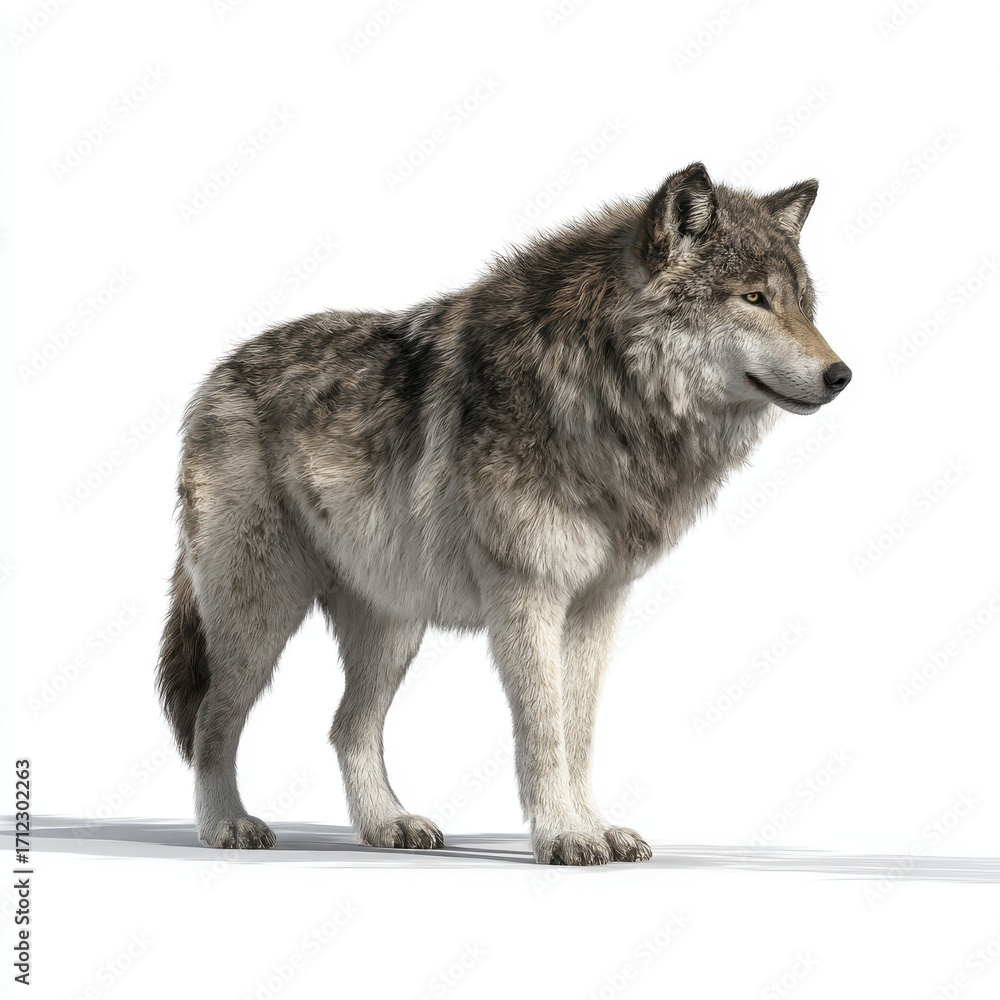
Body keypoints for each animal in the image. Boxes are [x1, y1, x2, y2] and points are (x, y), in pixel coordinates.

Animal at [156, 162, 851, 865]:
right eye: (754, 299)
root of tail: (215, 376)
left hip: (394, 627)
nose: (841, 375)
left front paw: (596, 828)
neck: (604, 398)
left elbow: (577, 732)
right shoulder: (527, 594)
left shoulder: (597, 604)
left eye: (803, 306)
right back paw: (227, 827)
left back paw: (387, 825)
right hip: (260, 613)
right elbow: (543, 731)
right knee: (213, 720)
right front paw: (564, 835)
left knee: (346, 727)